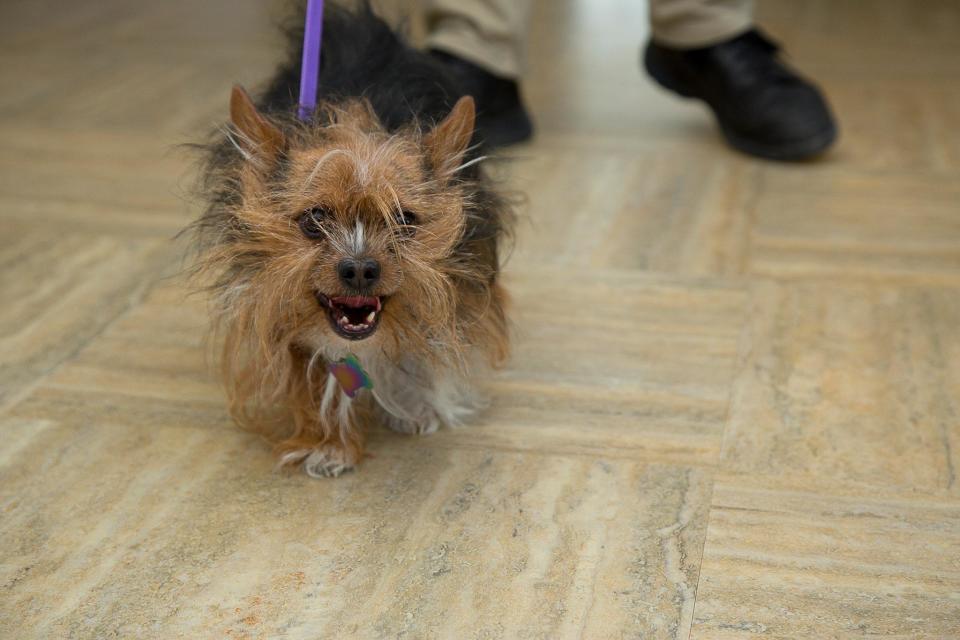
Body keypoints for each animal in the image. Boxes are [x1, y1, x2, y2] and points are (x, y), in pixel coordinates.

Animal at [190, 3, 512, 476]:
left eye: (403, 220)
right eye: (314, 220)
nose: (360, 269)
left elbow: (423, 339)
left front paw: (414, 405)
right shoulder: (276, 303)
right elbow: (313, 372)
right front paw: (328, 444)